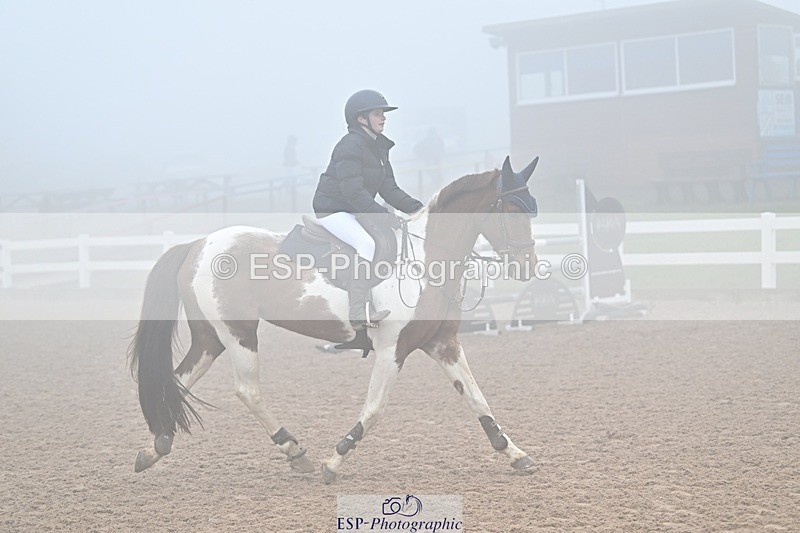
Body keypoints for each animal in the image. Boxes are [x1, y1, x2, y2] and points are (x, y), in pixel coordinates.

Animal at [128, 155, 540, 483]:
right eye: (511, 211)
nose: (527, 268)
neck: (425, 261)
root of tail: (196, 245)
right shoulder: (393, 349)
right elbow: (374, 410)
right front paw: (334, 461)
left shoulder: (443, 345)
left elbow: (477, 399)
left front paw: (516, 454)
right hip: (239, 333)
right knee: (247, 391)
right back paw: (295, 451)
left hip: (210, 338)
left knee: (178, 380)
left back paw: (156, 447)